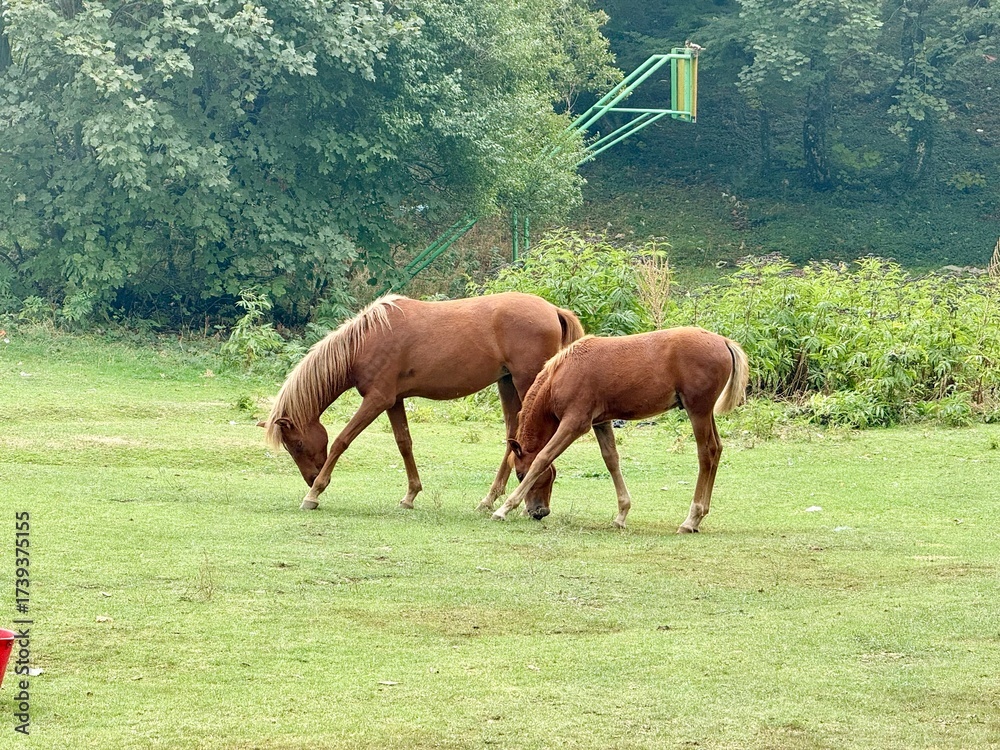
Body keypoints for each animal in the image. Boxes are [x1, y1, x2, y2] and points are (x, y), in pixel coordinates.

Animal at [260, 292, 585, 511]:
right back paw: (489, 499)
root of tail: (553, 309)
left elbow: (342, 440)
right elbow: (404, 443)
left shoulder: (376, 400)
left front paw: (314, 494)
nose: (310, 477)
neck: (366, 341)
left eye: (296, 444)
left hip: (527, 383)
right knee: (511, 438)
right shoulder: (393, 401)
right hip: (507, 385)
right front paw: (410, 495)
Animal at [480, 327, 749, 533]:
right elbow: (611, 460)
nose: (539, 511)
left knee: (706, 453)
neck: (562, 374)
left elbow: (542, 458)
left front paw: (504, 508)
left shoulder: (575, 423)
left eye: (520, 475)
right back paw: (699, 517)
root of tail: (724, 342)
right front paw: (621, 515)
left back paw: (691, 519)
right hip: (705, 412)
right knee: (717, 449)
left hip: (697, 410)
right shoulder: (601, 422)